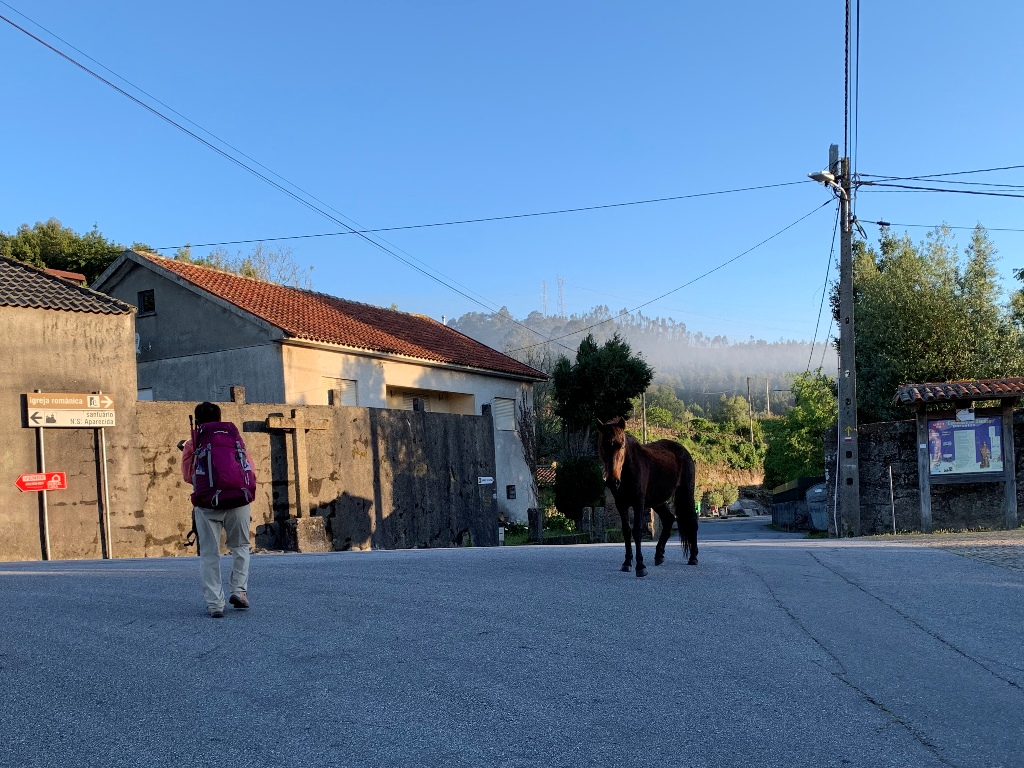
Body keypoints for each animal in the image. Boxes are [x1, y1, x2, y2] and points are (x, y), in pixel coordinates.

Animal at [596, 416, 698, 577]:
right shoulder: (621, 504)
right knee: (668, 519)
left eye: (622, 445)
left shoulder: (639, 503)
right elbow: (626, 532)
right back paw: (659, 555)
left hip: (686, 492)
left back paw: (693, 557)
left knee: (692, 520)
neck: (628, 470)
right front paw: (627, 562)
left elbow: (637, 531)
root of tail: (683, 450)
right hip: (657, 501)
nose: (613, 482)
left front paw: (640, 566)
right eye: (603, 446)